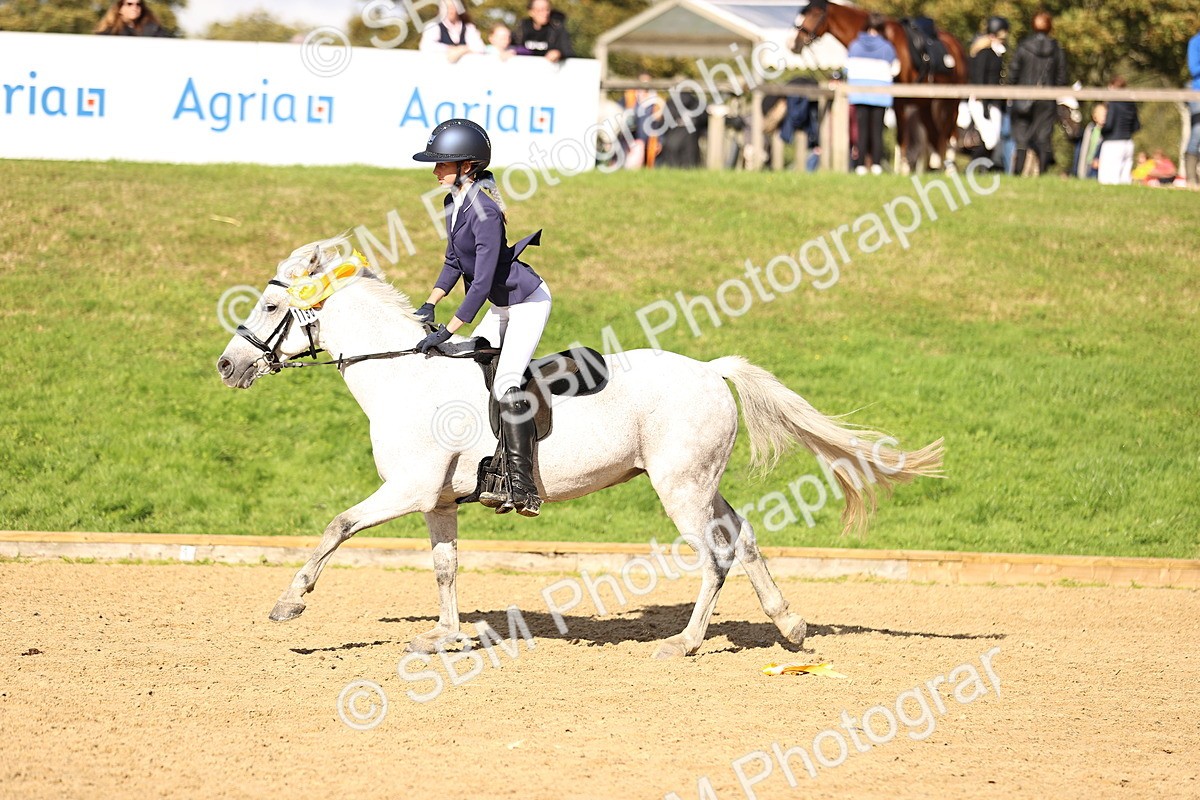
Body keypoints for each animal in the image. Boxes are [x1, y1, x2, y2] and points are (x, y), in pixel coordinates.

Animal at [216, 237, 944, 658]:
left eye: (267, 306)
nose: (227, 366)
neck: (402, 375)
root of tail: (712, 371)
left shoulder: (406, 490)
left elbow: (336, 527)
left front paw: (290, 602)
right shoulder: (436, 501)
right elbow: (445, 567)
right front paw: (447, 636)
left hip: (680, 491)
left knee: (714, 556)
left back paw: (686, 642)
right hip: (699, 483)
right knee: (743, 536)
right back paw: (788, 626)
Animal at [791, 0, 967, 172]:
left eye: (815, 14)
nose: (792, 43)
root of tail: (956, 45)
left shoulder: (898, 100)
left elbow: (899, 135)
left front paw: (902, 169)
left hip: (950, 103)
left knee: (950, 136)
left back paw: (948, 167)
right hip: (925, 104)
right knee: (935, 135)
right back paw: (936, 166)